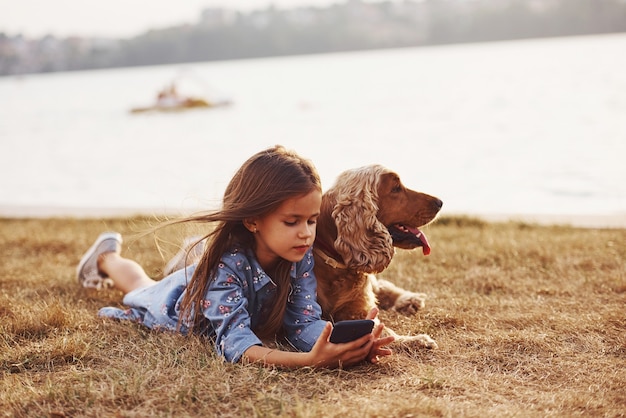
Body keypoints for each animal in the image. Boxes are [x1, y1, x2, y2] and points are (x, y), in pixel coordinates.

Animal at [312, 165, 438, 348]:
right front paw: (417, 340)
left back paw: (410, 299)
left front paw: (417, 340)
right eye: (396, 188)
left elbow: (382, 329)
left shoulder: (359, 308)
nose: (440, 202)